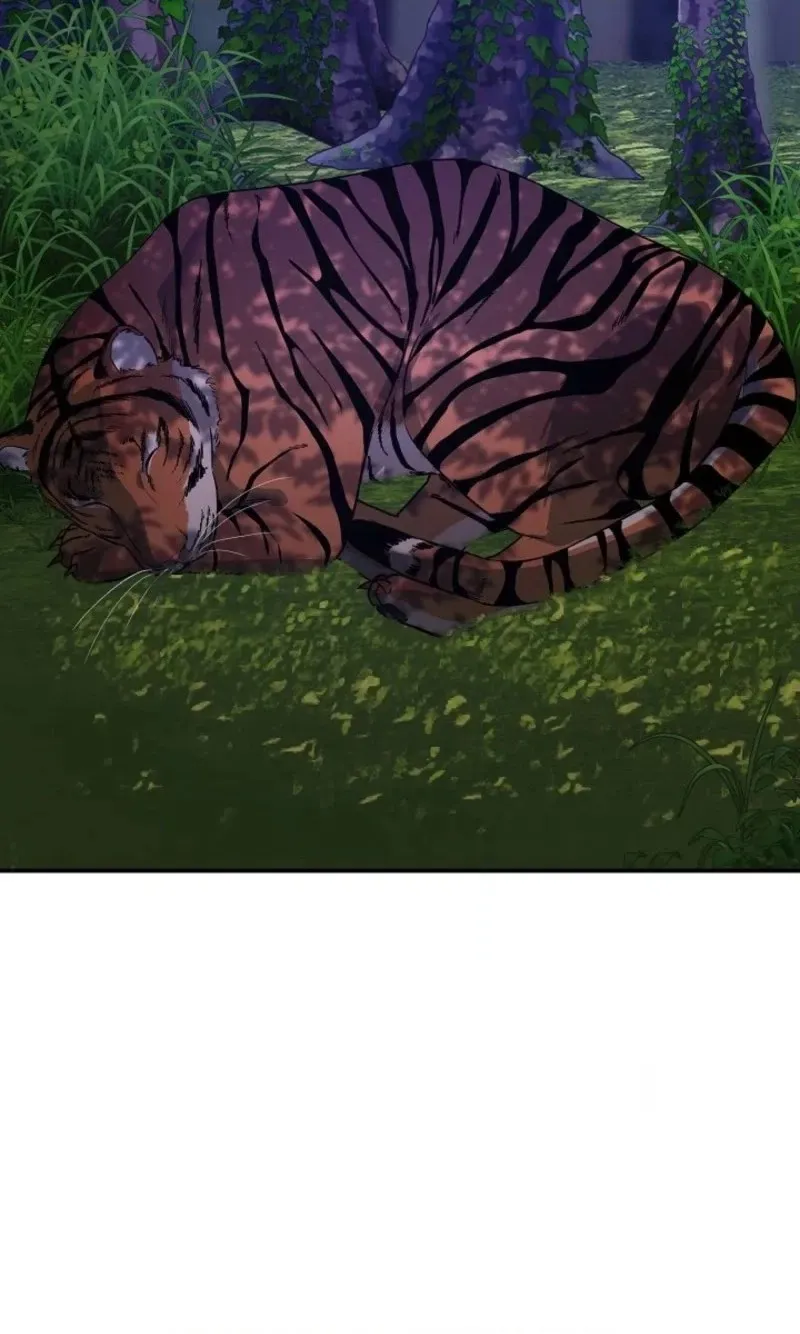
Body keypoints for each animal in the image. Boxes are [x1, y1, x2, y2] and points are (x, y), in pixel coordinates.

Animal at [0, 158, 796, 637]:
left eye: (151, 452)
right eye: (85, 494)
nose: (162, 555)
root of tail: (744, 309)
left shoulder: (301, 516)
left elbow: (226, 539)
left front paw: (88, 555)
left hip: (471, 382)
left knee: (557, 537)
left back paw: (420, 598)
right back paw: (391, 553)